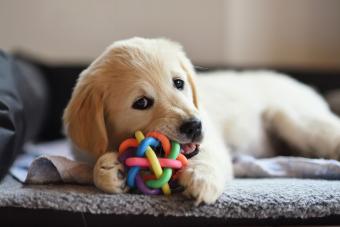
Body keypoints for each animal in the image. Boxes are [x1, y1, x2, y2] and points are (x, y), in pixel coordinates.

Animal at [63, 37, 340, 204]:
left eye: (178, 83)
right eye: (141, 103)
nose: (195, 126)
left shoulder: (213, 144)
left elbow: (206, 157)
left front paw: (201, 179)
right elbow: (94, 167)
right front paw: (109, 170)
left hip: (289, 117)